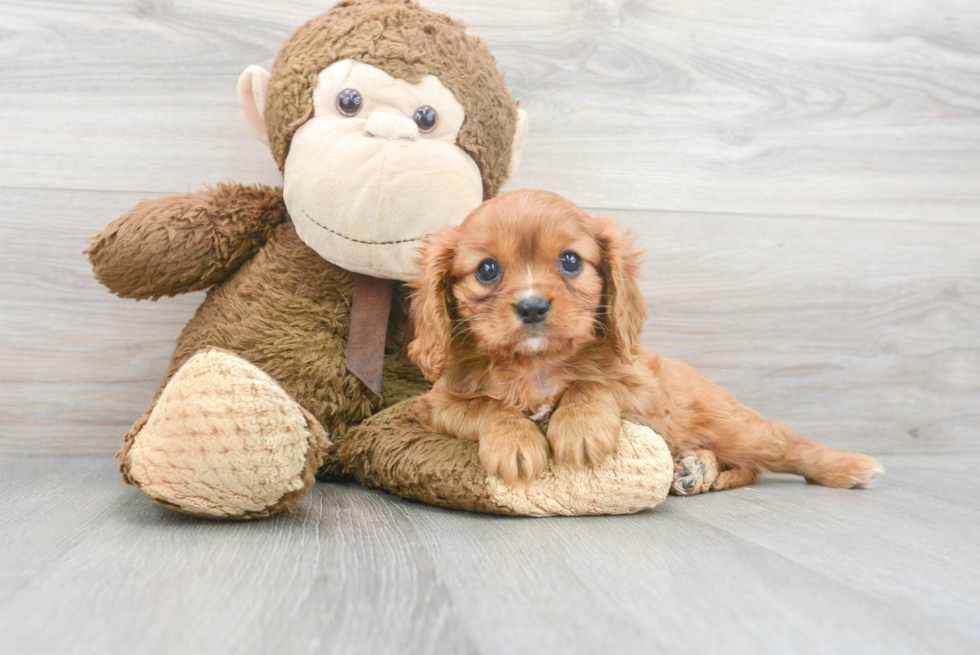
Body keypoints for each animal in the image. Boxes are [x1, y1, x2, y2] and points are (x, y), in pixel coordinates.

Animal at [410, 188, 884, 492]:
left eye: (570, 261)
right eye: (487, 269)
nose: (531, 308)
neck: (537, 364)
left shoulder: (647, 396)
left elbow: (590, 384)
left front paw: (580, 427)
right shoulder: (438, 405)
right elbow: (486, 406)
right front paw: (515, 440)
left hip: (730, 424)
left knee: (781, 444)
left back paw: (849, 466)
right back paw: (696, 470)